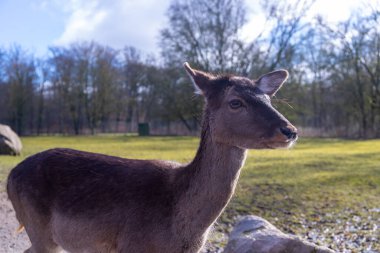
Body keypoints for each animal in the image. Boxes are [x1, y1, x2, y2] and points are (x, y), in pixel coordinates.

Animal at [6, 61, 296, 253]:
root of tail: (10, 175)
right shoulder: (130, 246)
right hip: (36, 225)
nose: (290, 130)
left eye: (269, 100)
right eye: (235, 102)